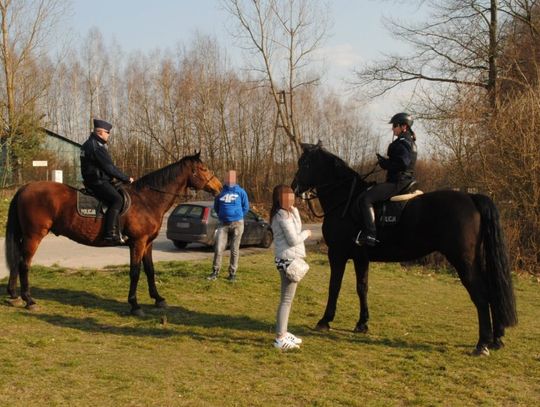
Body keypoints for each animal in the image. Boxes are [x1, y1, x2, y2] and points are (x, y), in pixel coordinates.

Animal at [5, 152, 223, 316]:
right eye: (203, 169)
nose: (219, 187)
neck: (147, 199)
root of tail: (25, 188)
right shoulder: (137, 242)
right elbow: (135, 272)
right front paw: (134, 305)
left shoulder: (148, 243)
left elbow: (150, 270)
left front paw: (158, 299)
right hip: (34, 236)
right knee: (24, 264)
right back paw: (29, 300)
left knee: (16, 262)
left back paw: (14, 295)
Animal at [294, 142, 516, 356]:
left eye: (305, 164)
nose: (294, 187)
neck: (345, 201)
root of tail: (472, 198)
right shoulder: (360, 257)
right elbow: (362, 288)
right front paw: (362, 324)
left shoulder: (337, 254)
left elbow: (335, 286)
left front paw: (325, 321)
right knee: (492, 291)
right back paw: (496, 339)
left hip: (463, 261)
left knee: (481, 295)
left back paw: (482, 344)